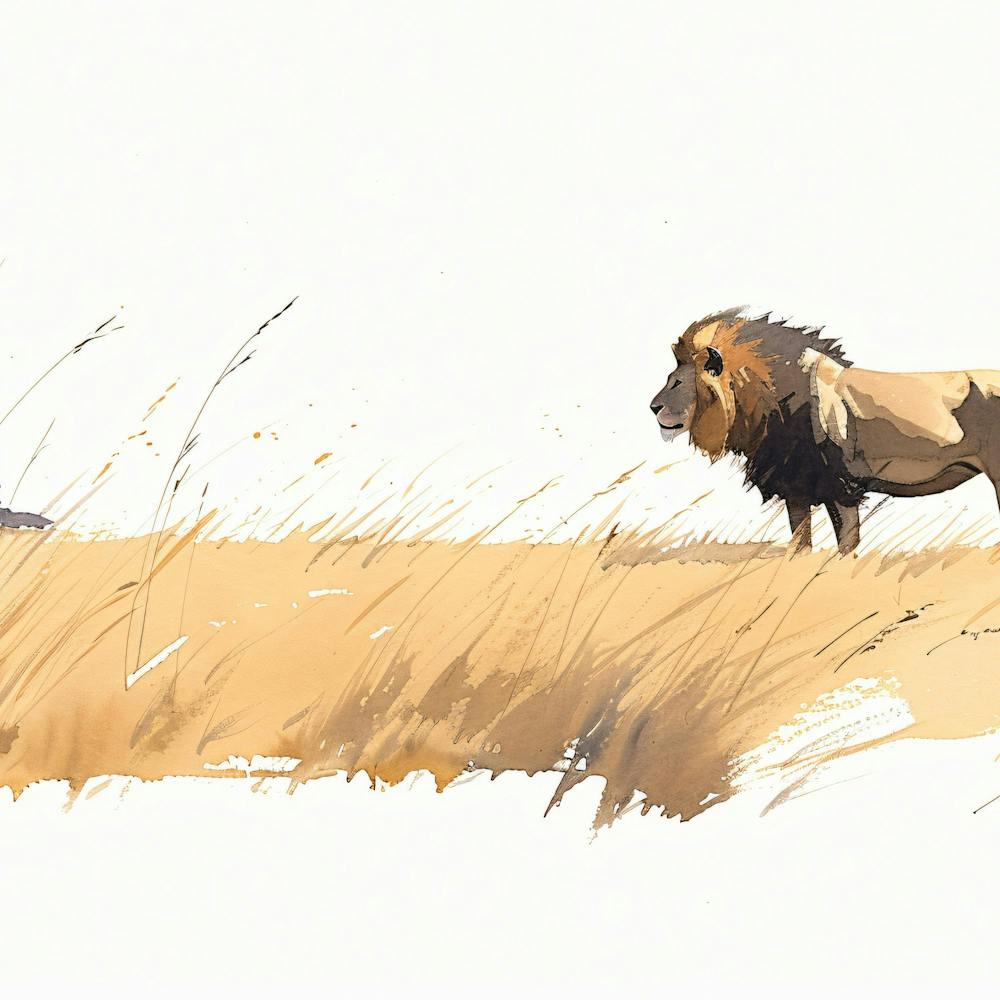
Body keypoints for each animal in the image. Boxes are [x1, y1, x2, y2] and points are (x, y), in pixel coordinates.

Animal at [649, 308, 1000, 554]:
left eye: (677, 382)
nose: (653, 407)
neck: (770, 403)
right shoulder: (795, 487)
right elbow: (800, 545)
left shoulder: (840, 485)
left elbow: (846, 544)